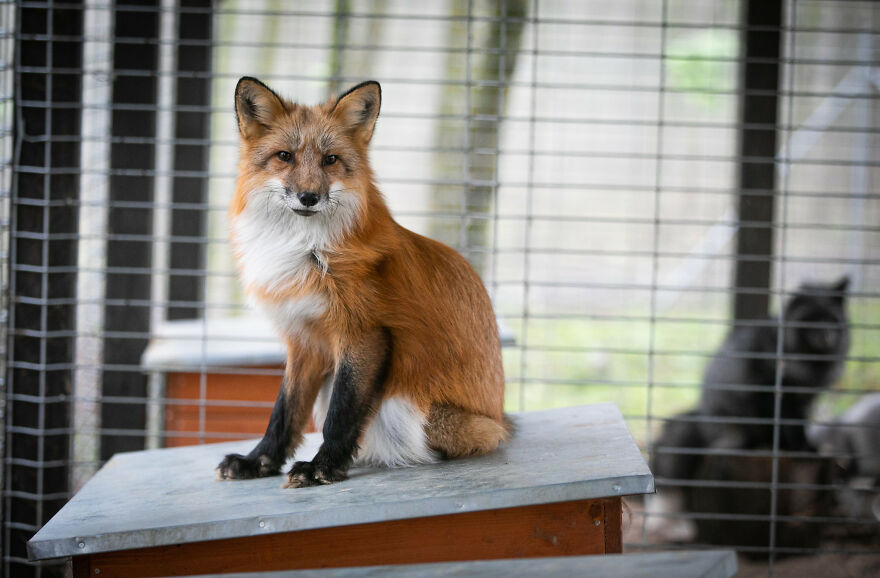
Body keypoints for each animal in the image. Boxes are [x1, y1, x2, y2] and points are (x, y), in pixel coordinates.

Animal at [215, 78, 510, 488]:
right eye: (284, 156)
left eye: (330, 160)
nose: (309, 197)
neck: (308, 252)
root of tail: (501, 417)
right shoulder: (304, 341)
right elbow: (284, 411)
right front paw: (259, 461)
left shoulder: (363, 334)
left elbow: (341, 414)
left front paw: (322, 466)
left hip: (416, 415)